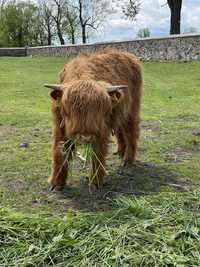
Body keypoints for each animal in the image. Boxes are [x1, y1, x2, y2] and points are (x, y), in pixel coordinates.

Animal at [45, 49, 142, 189]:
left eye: (100, 109)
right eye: (69, 109)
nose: (86, 137)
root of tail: (128, 56)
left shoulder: (101, 130)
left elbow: (97, 154)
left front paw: (96, 181)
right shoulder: (59, 125)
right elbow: (59, 152)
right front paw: (56, 182)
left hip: (132, 110)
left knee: (131, 132)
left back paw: (128, 160)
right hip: (119, 112)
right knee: (120, 130)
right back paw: (120, 152)